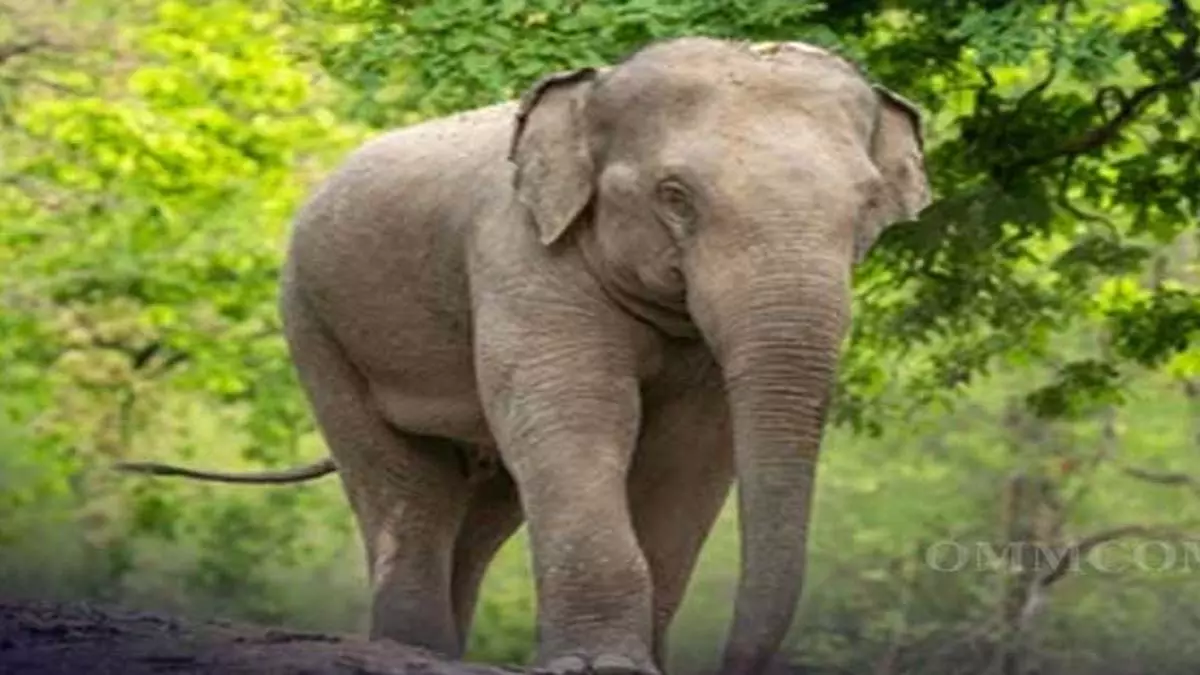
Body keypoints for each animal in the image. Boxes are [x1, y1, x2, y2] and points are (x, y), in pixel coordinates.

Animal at [117, 37, 930, 675]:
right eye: (675, 196)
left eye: (867, 206)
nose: (729, 665)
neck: (594, 89)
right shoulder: (519, 255)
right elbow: (576, 416)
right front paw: (602, 667)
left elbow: (690, 453)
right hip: (314, 326)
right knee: (406, 486)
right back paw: (413, 649)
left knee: (485, 507)